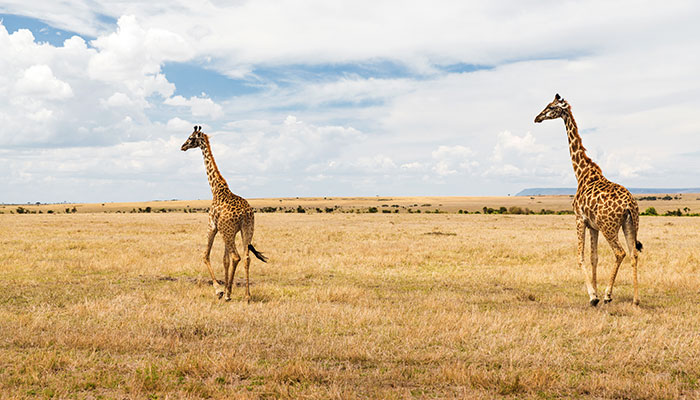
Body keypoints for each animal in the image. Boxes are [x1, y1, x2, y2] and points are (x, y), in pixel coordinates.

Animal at [180, 126, 268, 302]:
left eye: (190, 137)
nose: (182, 146)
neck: (216, 189)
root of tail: (244, 213)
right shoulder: (229, 231)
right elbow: (224, 260)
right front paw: (227, 288)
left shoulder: (213, 226)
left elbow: (206, 255)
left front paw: (220, 290)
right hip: (247, 229)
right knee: (246, 257)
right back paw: (247, 295)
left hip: (227, 231)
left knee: (236, 257)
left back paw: (227, 295)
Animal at [536, 94, 644, 306]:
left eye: (551, 107)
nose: (537, 118)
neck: (582, 173)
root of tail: (629, 205)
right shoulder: (593, 226)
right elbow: (594, 257)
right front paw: (594, 291)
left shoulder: (579, 219)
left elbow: (580, 256)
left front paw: (593, 296)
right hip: (630, 224)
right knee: (634, 254)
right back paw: (635, 299)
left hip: (609, 227)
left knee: (620, 253)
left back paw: (608, 295)